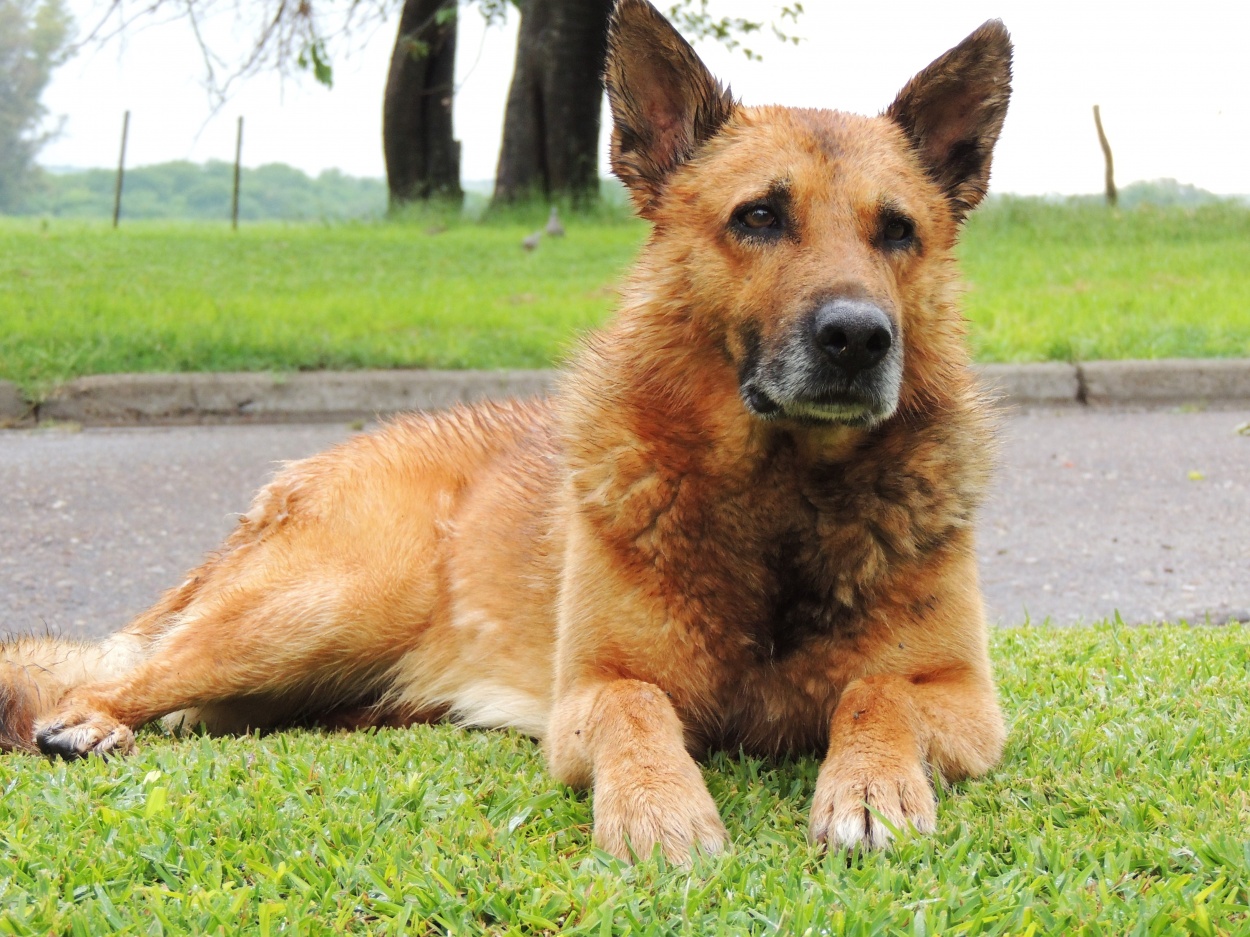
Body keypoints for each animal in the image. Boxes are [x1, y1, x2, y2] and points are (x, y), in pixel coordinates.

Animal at [0, 0, 1010, 864]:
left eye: (898, 231)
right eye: (759, 216)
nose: (859, 338)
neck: (782, 501)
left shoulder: (965, 699)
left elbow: (877, 689)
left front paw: (871, 786)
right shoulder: (592, 691)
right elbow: (639, 710)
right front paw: (659, 807)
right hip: (324, 607)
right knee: (101, 681)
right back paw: (91, 717)